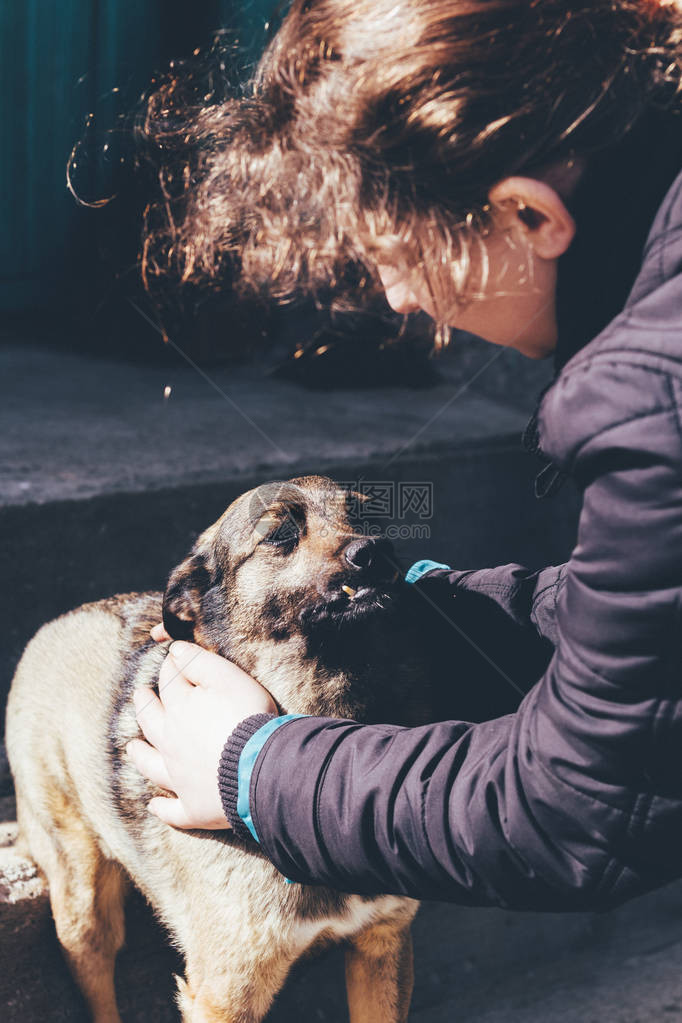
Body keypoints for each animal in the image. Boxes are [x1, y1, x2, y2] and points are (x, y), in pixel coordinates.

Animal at [6, 476, 431, 1023]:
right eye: (280, 534)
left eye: (369, 518)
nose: (376, 550)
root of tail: (51, 624)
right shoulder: (226, 994)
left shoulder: (382, 943)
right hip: (84, 905)